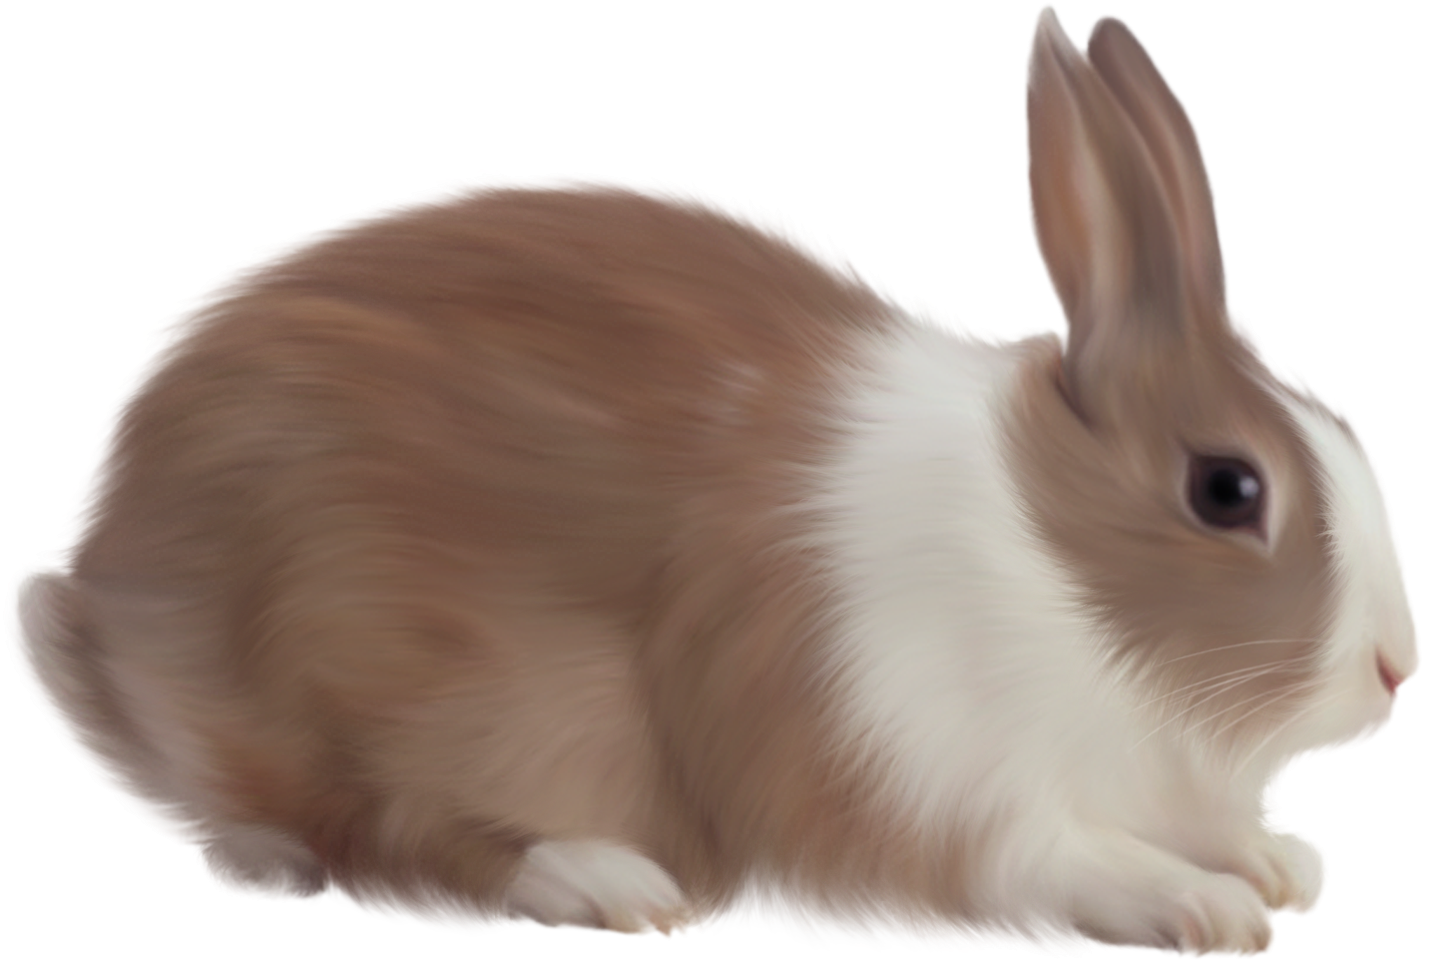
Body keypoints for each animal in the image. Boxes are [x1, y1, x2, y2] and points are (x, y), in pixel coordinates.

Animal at [3, 3, 1419, 957]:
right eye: (1228, 491)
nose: (1394, 667)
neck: (1052, 558)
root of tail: (98, 609)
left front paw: (1288, 865)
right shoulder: (913, 787)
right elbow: (1056, 858)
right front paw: (1207, 906)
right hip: (371, 654)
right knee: (384, 846)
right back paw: (606, 886)